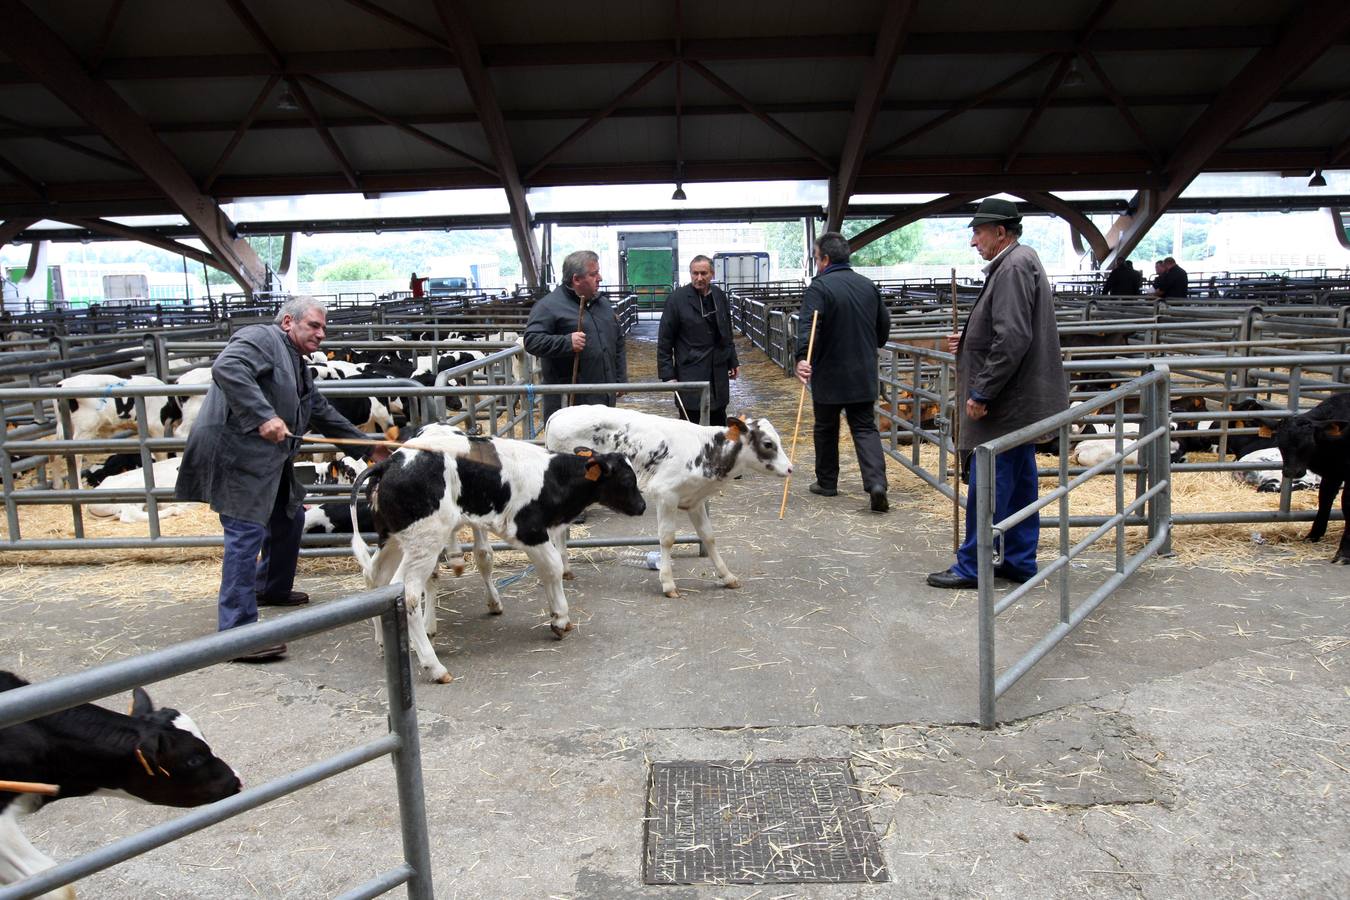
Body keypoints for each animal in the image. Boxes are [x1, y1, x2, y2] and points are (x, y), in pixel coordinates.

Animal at [348, 423, 642, 682]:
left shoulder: (533, 535)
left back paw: (383, 643)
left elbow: (547, 570)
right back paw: (434, 667)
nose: (642, 506)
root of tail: (390, 462)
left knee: (376, 577)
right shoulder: (529, 530)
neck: (552, 478)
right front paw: (560, 619)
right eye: (627, 479)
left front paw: (557, 615)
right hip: (424, 541)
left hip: (393, 538)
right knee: (406, 593)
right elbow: (554, 567)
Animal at [542, 407, 788, 599]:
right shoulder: (666, 494)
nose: (789, 468)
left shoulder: (695, 500)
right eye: (768, 443)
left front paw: (727, 576)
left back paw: (565, 569)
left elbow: (708, 536)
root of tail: (559, 413)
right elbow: (668, 538)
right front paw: (668, 584)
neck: (704, 450)